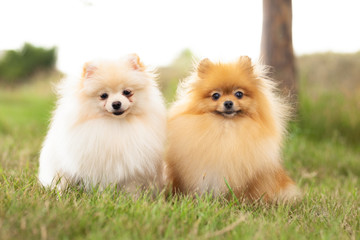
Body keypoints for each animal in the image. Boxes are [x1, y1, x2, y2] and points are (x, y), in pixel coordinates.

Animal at [38, 54, 166, 193]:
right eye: (104, 95)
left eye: (127, 92)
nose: (116, 103)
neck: (116, 123)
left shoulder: (133, 171)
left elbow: (131, 188)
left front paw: (130, 197)